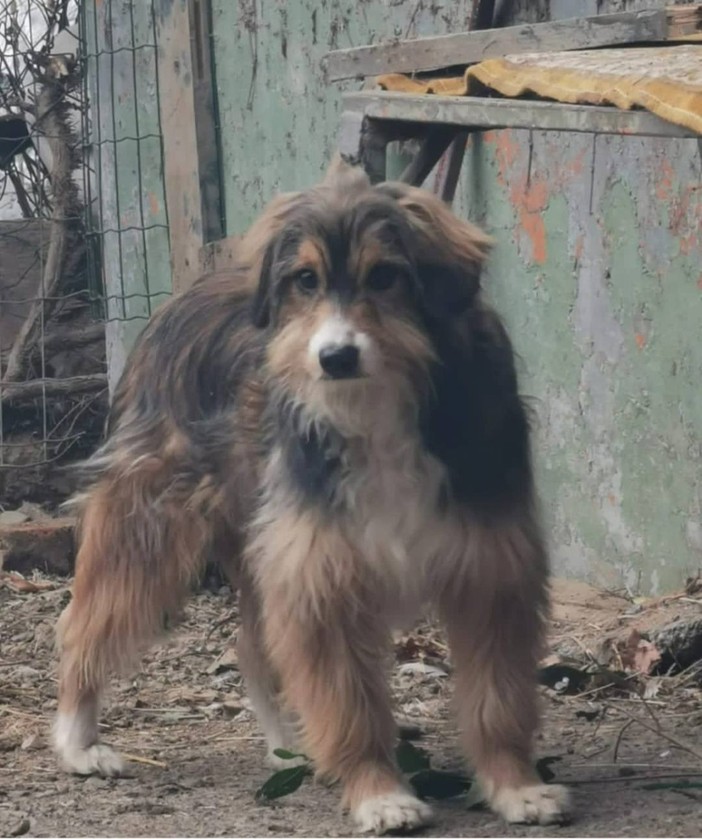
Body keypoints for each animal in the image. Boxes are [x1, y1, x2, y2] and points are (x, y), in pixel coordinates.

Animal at [53, 159, 572, 832]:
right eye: (305, 280)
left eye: (385, 276)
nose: (335, 357)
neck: (375, 407)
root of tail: (182, 296)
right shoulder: (319, 572)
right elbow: (351, 703)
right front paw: (378, 792)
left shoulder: (491, 568)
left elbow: (498, 698)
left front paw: (515, 785)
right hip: (148, 528)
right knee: (83, 624)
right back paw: (77, 741)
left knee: (252, 648)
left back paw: (291, 747)